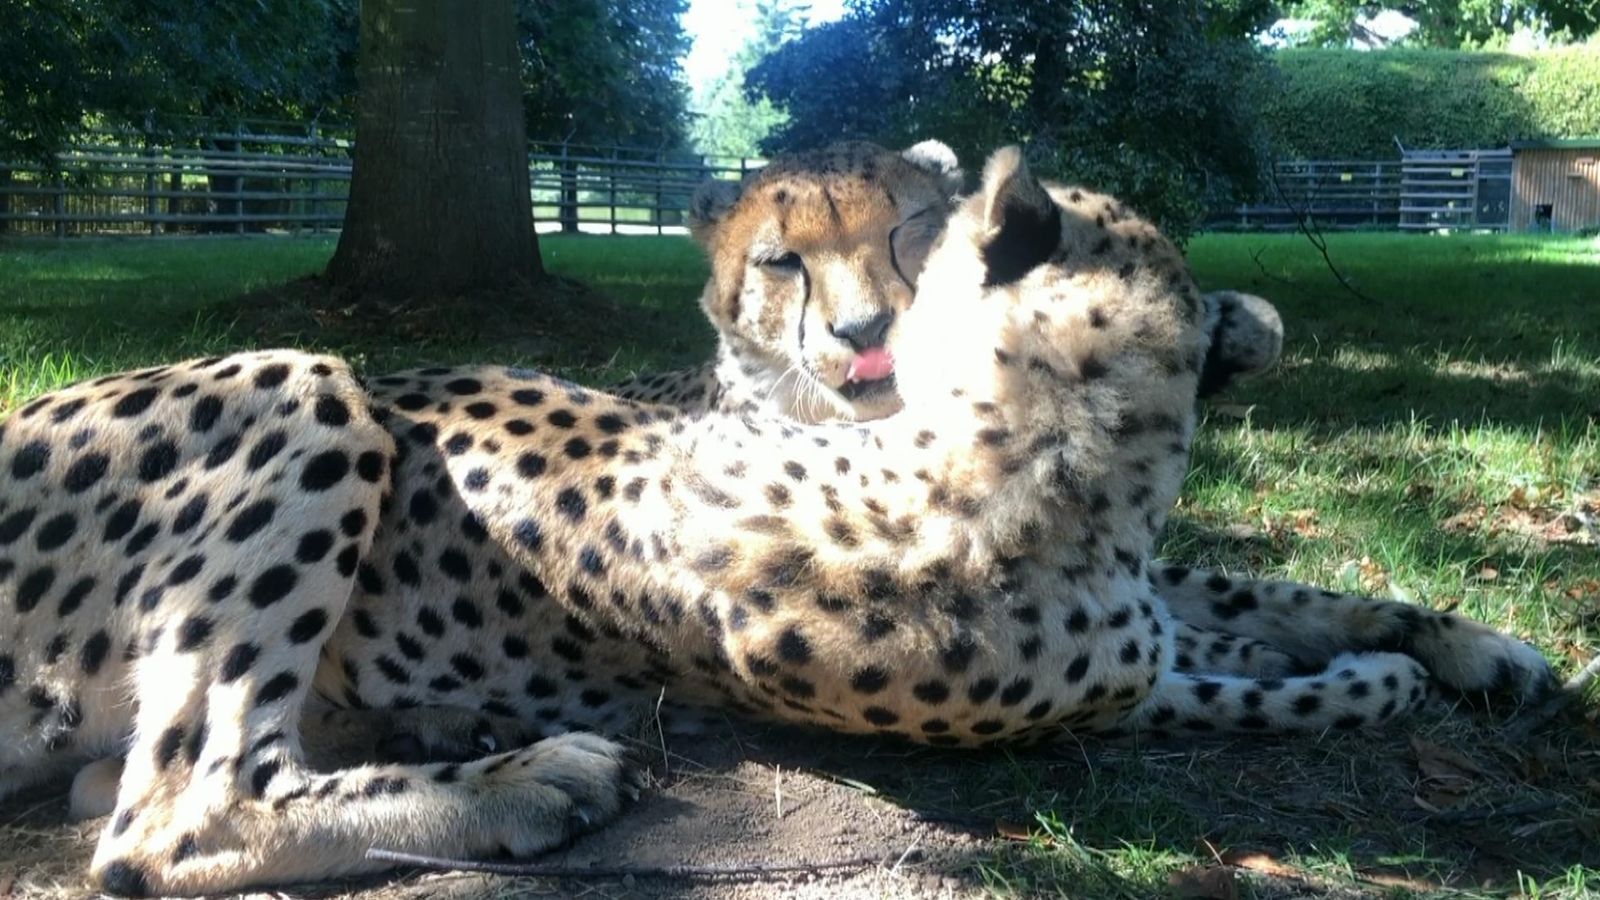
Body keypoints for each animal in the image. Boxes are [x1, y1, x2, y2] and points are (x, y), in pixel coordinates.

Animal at [0, 145, 1554, 896]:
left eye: (907, 233)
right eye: (792, 263)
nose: (865, 331)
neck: (1045, 455)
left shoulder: (1150, 600)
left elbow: (1256, 593)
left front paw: (1475, 644)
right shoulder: (1109, 691)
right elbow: (1257, 686)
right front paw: (1383, 677)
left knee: (119, 797)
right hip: (303, 382)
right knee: (164, 822)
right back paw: (522, 780)